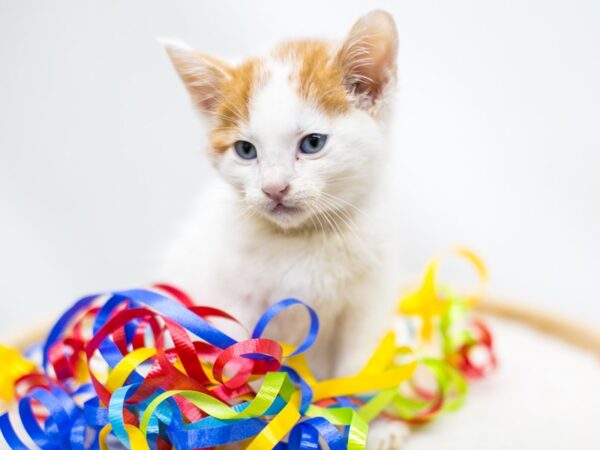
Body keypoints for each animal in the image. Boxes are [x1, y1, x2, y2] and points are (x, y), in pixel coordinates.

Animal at [161, 10, 408, 450]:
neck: (303, 239)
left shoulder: (369, 298)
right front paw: (246, 429)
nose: (274, 189)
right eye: (245, 150)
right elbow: (239, 364)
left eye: (312, 143)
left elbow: (362, 362)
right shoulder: (232, 297)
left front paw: (374, 425)